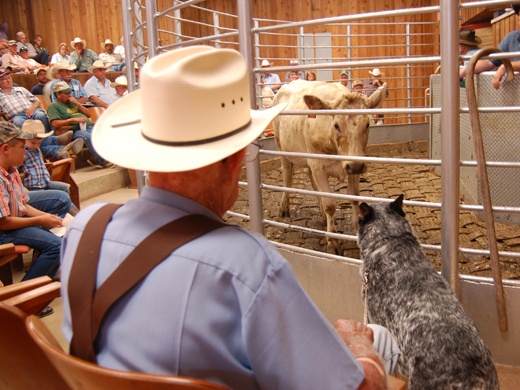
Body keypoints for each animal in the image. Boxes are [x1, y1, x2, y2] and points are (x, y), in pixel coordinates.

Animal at [272, 80, 386, 254]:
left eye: (367, 124)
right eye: (337, 125)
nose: (356, 166)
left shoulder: (353, 165)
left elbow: (353, 196)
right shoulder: (318, 166)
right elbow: (330, 204)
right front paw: (332, 240)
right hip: (281, 148)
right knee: (287, 175)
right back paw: (284, 207)